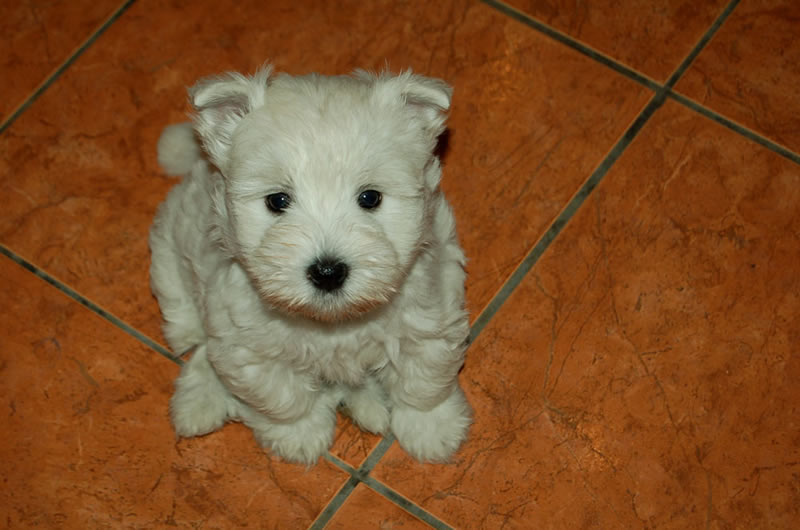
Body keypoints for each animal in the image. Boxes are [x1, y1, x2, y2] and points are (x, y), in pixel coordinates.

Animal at [149, 65, 471, 465]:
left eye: (370, 197)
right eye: (277, 200)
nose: (328, 272)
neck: (334, 323)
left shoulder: (430, 313)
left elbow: (424, 378)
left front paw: (432, 429)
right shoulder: (249, 345)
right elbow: (283, 397)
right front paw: (299, 435)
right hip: (171, 266)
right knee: (194, 338)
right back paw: (198, 403)